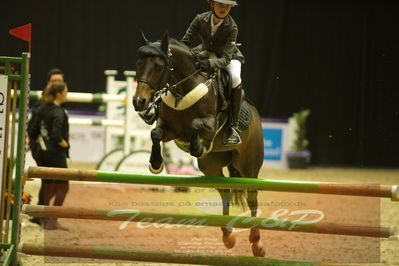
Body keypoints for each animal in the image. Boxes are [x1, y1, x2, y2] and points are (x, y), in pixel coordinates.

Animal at [133, 32, 268, 256]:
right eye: (138, 64)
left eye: (159, 67)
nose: (139, 102)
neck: (183, 88)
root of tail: (257, 117)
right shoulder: (170, 130)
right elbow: (155, 133)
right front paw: (156, 163)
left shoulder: (210, 125)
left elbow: (196, 125)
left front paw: (197, 146)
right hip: (211, 166)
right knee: (225, 192)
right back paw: (227, 235)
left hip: (249, 166)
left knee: (252, 197)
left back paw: (257, 244)